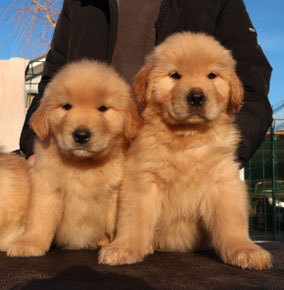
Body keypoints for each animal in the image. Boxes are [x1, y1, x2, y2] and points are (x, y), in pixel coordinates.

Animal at [7, 60, 142, 258]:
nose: (81, 135)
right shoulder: (47, 188)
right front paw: (29, 244)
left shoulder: (115, 193)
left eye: (103, 108)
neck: (83, 164)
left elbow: (117, 222)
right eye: (66, 106)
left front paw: (120, 247)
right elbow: (40, 219)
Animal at [98, 32, 272, 270]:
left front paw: (245, 249)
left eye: (211, 75)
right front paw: (124, 248)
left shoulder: (222, 181)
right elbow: (134, 219)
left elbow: (231, 221)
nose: (196, 97)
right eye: (175, 75)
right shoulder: (143, 181)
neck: (188, 138)